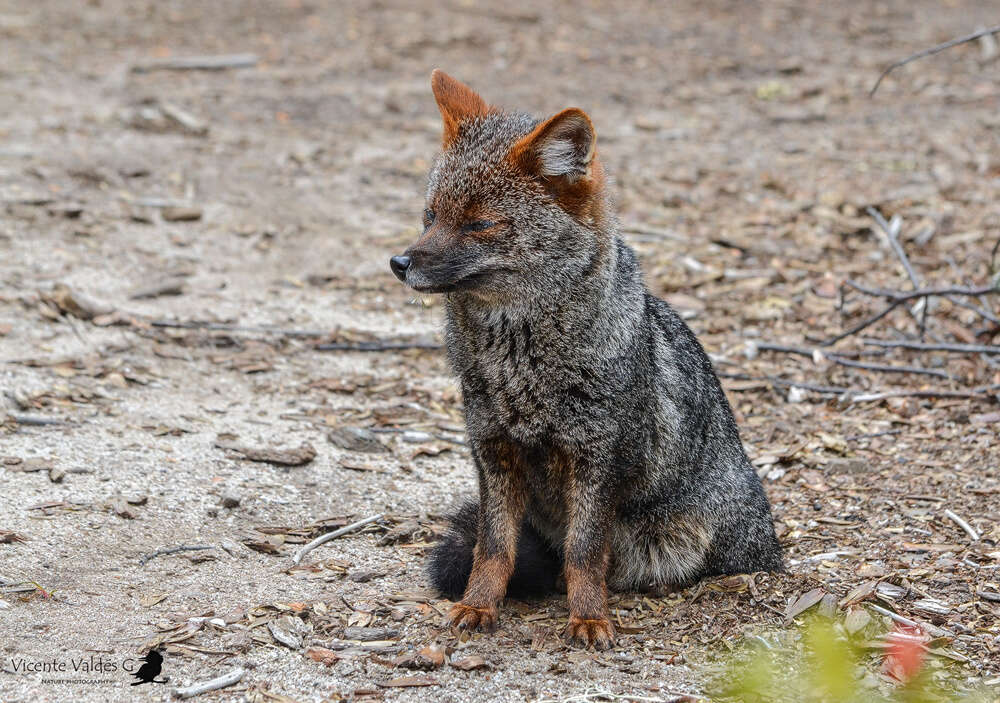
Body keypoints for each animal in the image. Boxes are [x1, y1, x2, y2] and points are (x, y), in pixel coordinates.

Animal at [386, 70, 784, 648]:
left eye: (479, 225)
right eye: (430, 216)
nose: (399, 263)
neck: (520, 365)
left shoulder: (597, 461)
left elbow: (585, 551)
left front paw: (590, 617)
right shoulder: (492, 451)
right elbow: (493, 547)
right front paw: (478, 605)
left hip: (685, 537)